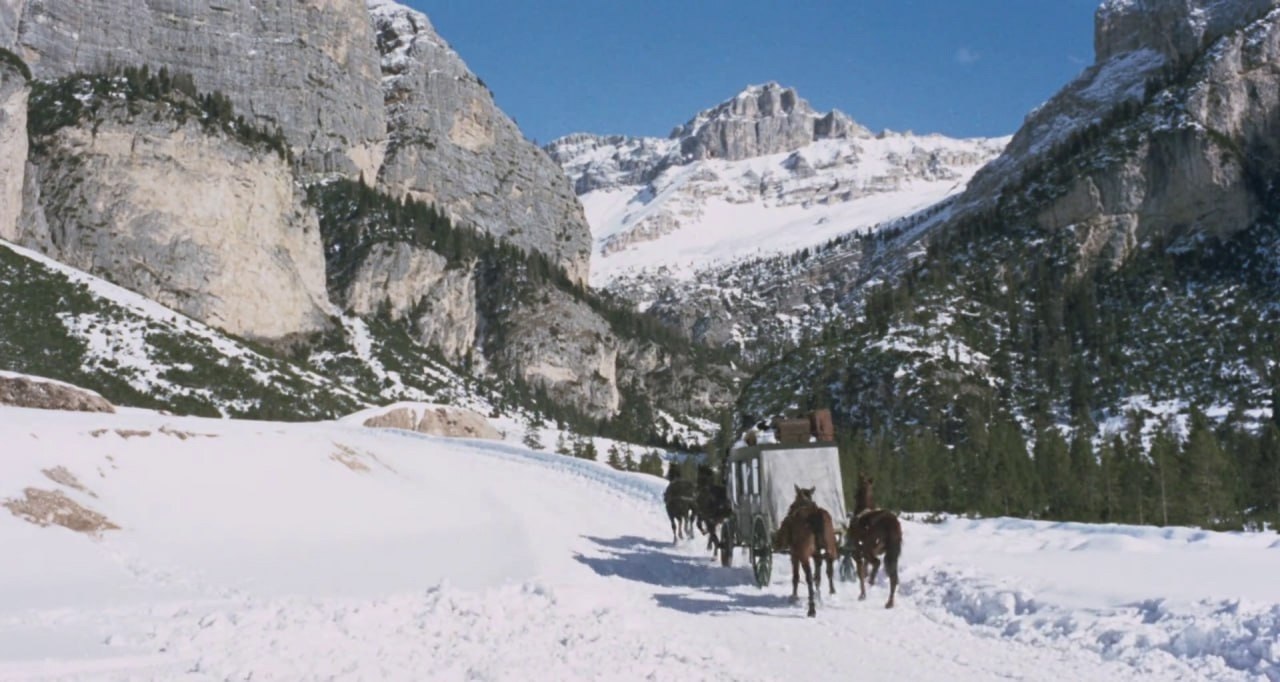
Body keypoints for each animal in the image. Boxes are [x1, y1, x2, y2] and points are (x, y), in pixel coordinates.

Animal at [778, 483, 839, 616]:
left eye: (792, 505)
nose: (789, 511)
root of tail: (816, 514)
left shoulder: (794, 554)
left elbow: (796, 577)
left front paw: (794, 596)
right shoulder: (816, 554)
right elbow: (818, 576)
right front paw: (818, 595)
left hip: (803, 554)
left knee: (809, 577)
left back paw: (812, 608)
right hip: (830, 548)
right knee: (827, 570)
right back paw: (826, 594)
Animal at [844, 473, 906, 606]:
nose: (854, 494)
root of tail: (891, 522)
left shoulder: (857, 552)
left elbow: (861, 572)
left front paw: (862, 594)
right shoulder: (869, 552)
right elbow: (865, 568)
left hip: (869, 548)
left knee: (877, 563)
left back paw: (872, 581)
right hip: (891, 554)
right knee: (894, 578)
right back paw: (889, 602)